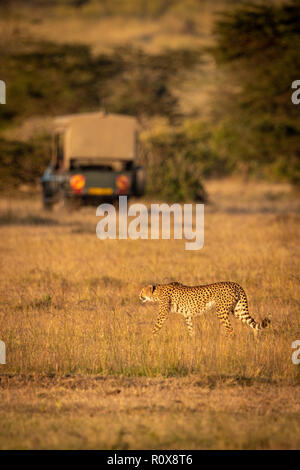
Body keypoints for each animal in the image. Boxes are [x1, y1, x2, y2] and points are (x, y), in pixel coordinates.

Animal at [139, 280, 270, 336]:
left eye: (142, 291)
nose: (139, 296)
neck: (157, 292)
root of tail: (235, 283)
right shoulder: (187, 315)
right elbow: (191, 329)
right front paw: (192, 342)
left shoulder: (163, 314)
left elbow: (156, 327)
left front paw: (150, 339)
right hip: (238, 310)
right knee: (252, 324)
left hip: (221, 311)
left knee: (230, 329)